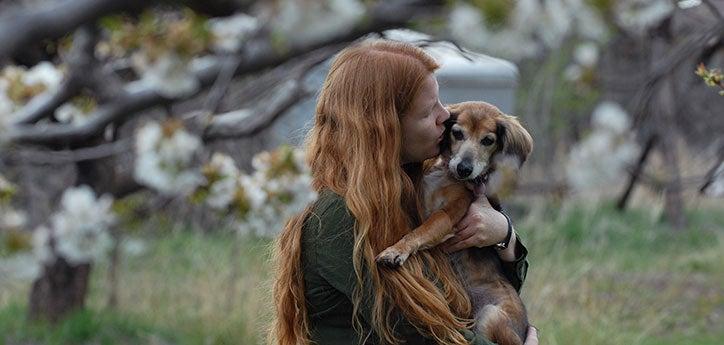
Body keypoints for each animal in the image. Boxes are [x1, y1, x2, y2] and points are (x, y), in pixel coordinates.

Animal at [376, 101, 536, 344]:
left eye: (488, 140)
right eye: (457, 133)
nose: (464, 168)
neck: (445, 174)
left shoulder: (448, 215)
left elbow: (420, 231)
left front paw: (396, 251)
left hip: (490, 315)